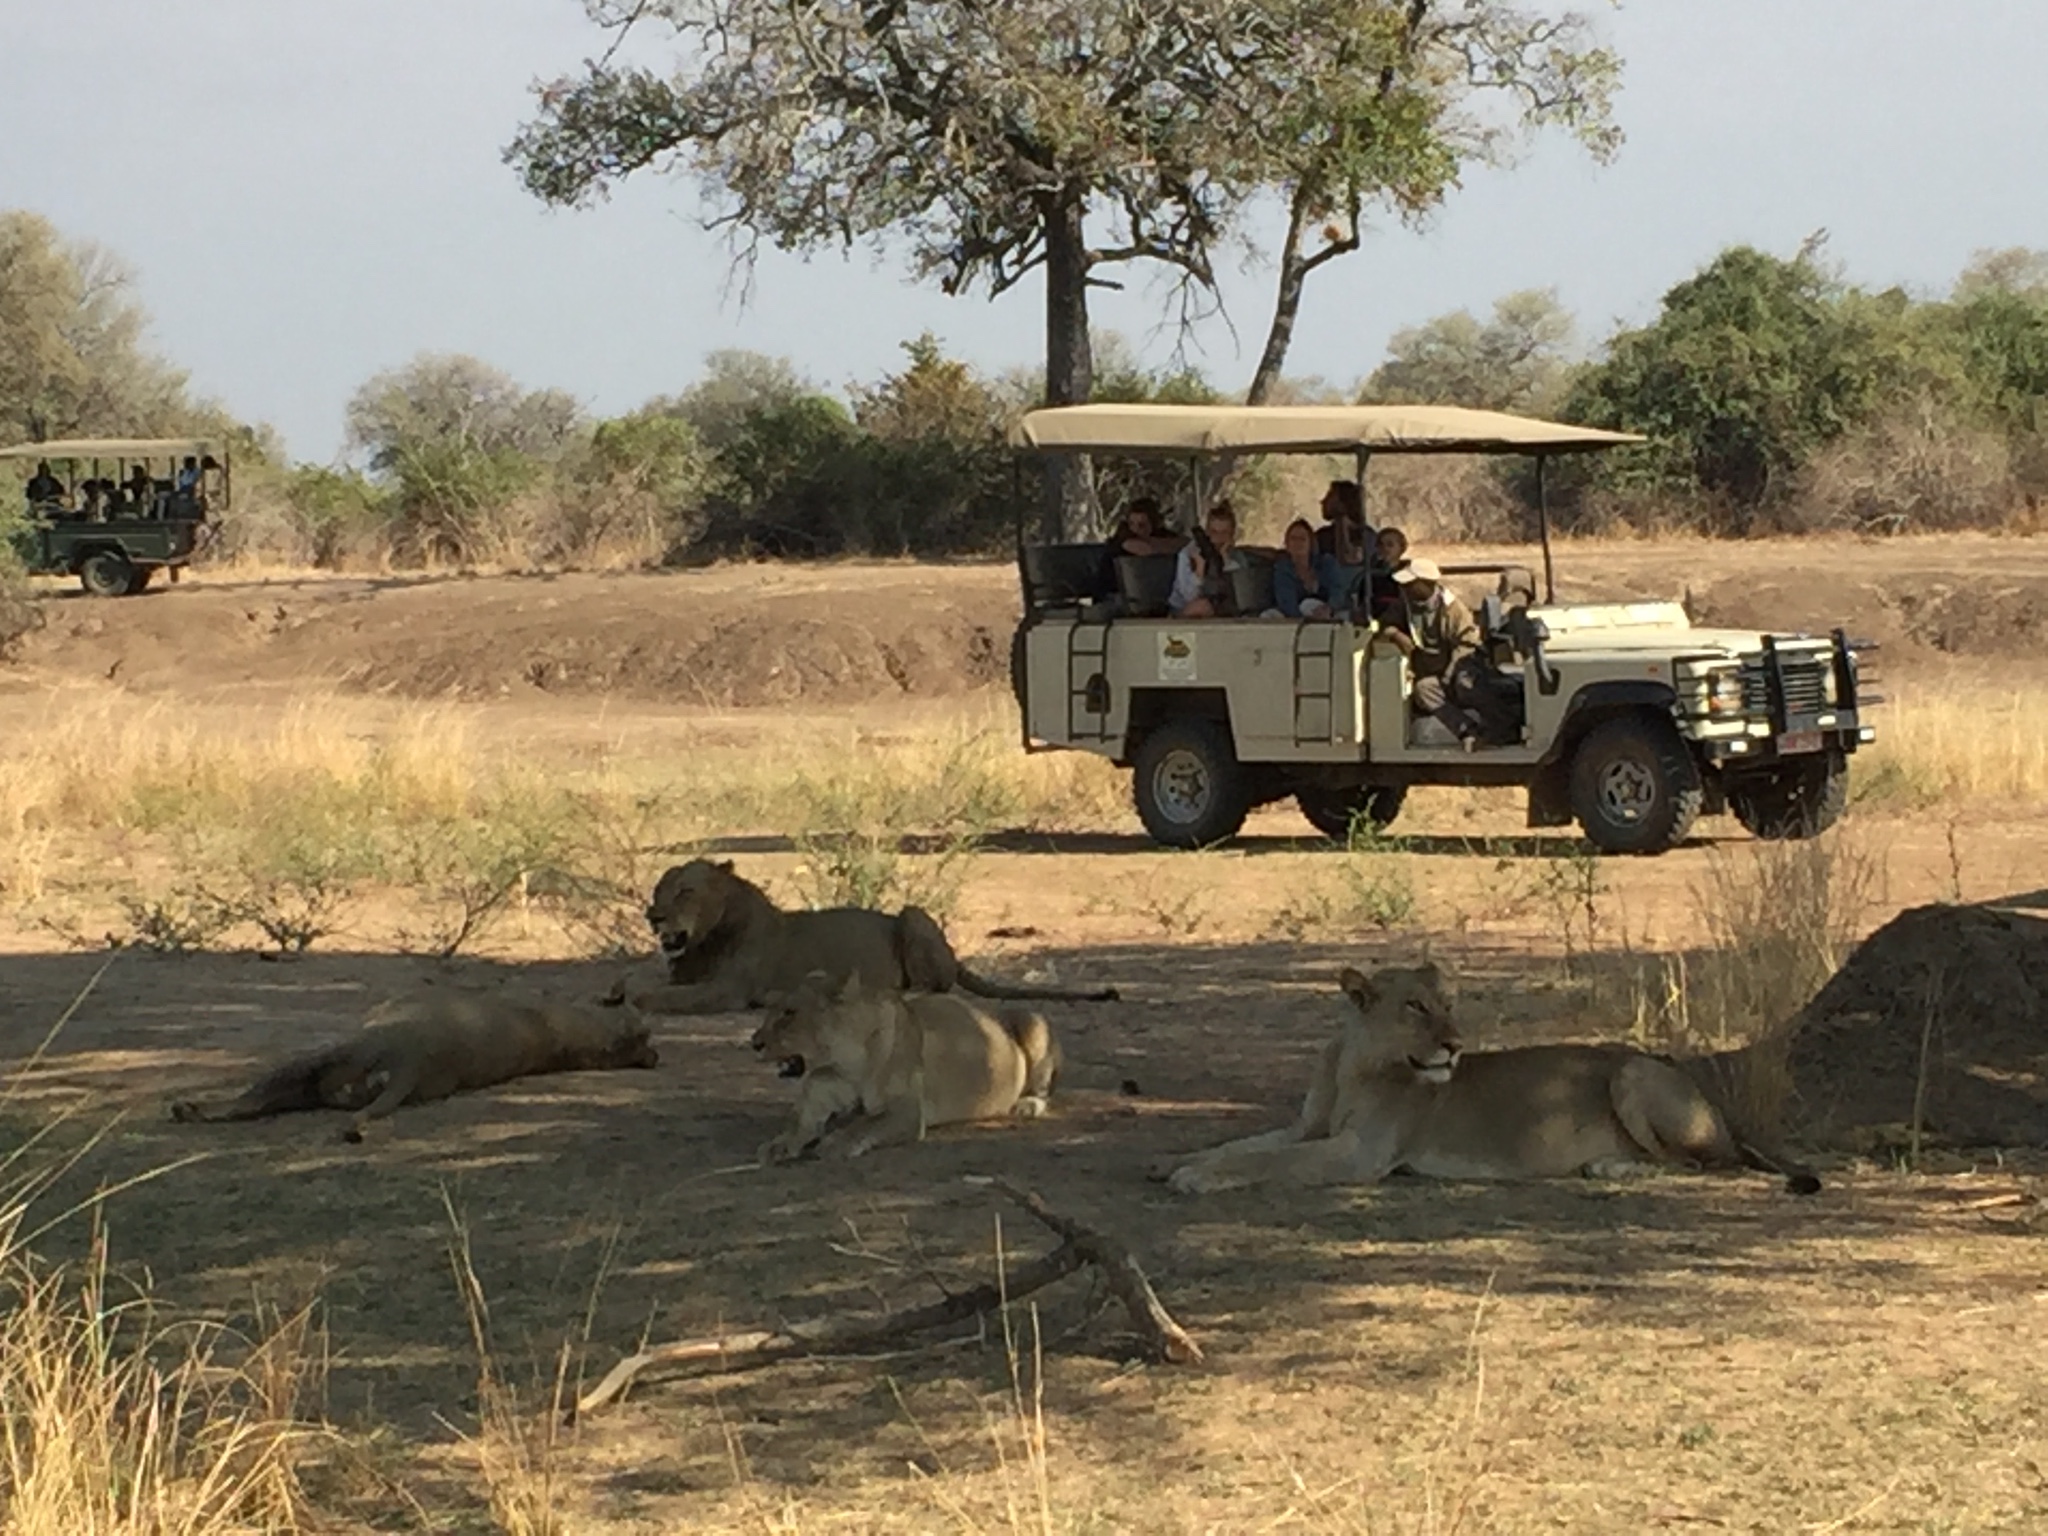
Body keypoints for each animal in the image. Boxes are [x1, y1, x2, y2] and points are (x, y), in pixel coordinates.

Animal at [176, 999, 659, 1146]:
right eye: (644, 1035)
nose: (654, 1055)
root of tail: (413, 1058)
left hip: (329, 1059)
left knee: (249, 1101)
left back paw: (191, 1110)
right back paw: (190, 1111)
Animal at [634, 860, 1122, 1015]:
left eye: (685, 891)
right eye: (656, 891)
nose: (653, 916)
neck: (705, 940)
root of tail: (954, 954)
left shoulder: (727, 991)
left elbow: (659, 996)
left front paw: (638, 1001)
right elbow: (645, 982)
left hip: (910, 915)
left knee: (931, 986)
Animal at [757, 978, 1073, 1163]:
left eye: (789, 1013)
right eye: (770, 1009)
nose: (754, 1042)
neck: (842, 1064)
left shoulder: (907, 1111)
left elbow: (865, 1123)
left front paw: (835, 1142)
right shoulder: (817, 1097)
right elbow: (797, 1124)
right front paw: (779, 1145)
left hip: (1032, 1020)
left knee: (1043, 1092)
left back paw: (1026, 1105)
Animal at [1163, 962, 1818, 1204]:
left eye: (1449, 1005)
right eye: (1416, 1007)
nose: (1456, 1045)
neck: (1357, 1063)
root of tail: (1722, 1111)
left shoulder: (1359, 1155)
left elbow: (1267, 1163)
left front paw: (1196, 1178)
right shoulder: (1308, 1127)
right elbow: (1246, 1145)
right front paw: (1182, 1161)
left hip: (1633, 1075)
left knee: (1708, 1164)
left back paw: (1613, 1168)